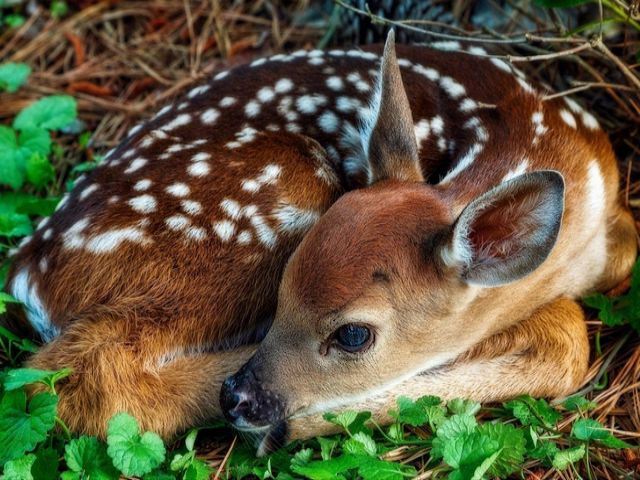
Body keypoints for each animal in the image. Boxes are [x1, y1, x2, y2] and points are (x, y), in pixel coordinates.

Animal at [4, 30, 636, 454]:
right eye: (283, 290)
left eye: (353, 334)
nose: (237, 398)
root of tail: (26, 271)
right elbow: (565, 335)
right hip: (266, 197)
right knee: (89, 378)